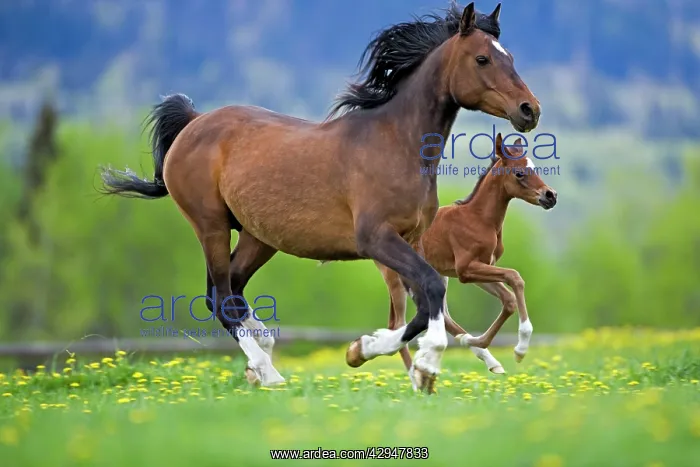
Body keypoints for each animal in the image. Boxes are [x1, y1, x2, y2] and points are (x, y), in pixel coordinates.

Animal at [374, 133, 557, 391]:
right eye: (520, 173)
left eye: (535, 167)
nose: (550, 195)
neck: (479, 218)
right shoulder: (466, 270)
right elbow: (515, 276)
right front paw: (520, 349)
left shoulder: (478, 270)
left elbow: (509, 298)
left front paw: (481, 343)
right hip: (397, 278)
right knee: (397, 324)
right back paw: (416, 377)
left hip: (438, 275)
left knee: (442, 315)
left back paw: (479, 352)